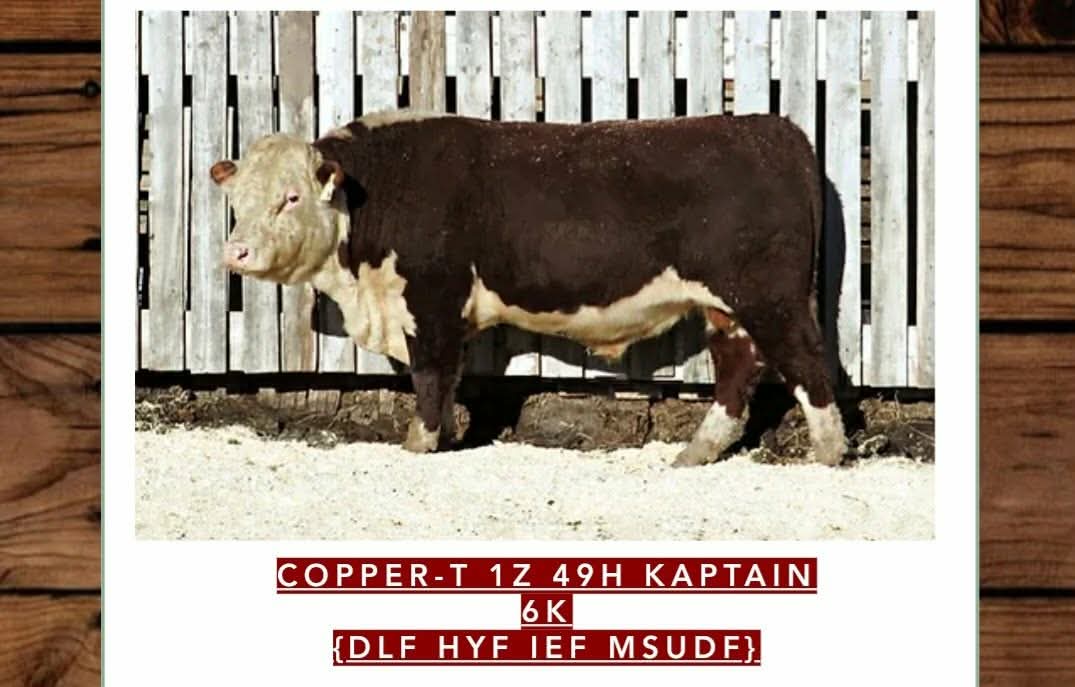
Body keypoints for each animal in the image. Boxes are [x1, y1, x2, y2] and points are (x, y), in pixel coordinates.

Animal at [210, 110, 847, 466]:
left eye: (291, 197)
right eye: (236, 200)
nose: (236, 251)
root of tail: (771, 128)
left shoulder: (433, 302)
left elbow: (432, 377)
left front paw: (421, 444)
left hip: (771, 297)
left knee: (808, 365)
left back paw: (829, 453)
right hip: (729, 308)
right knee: (737, 373)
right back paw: (695, 453)